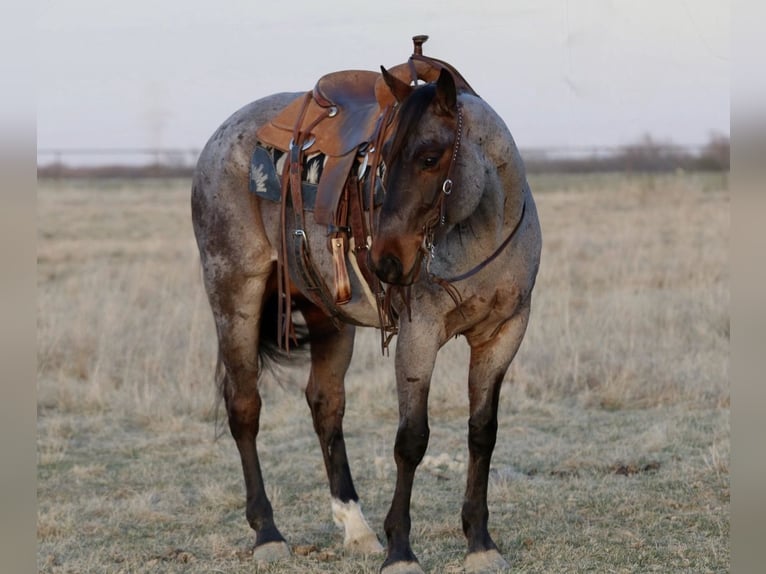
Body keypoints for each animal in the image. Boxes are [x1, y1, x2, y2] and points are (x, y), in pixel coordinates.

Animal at [191, 39, 541, 574]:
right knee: (244, 406)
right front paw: (401, 552)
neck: (484, 227)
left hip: (327, 313)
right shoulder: (419, 336)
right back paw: (268, 534)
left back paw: (356, 529)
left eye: (430, 157)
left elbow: (483, 431)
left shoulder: (504, 333)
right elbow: (411, 439)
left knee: (325, 404)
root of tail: (218, 140)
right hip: (234, 296)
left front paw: (481, 543)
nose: (386, 261)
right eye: (383, 159)